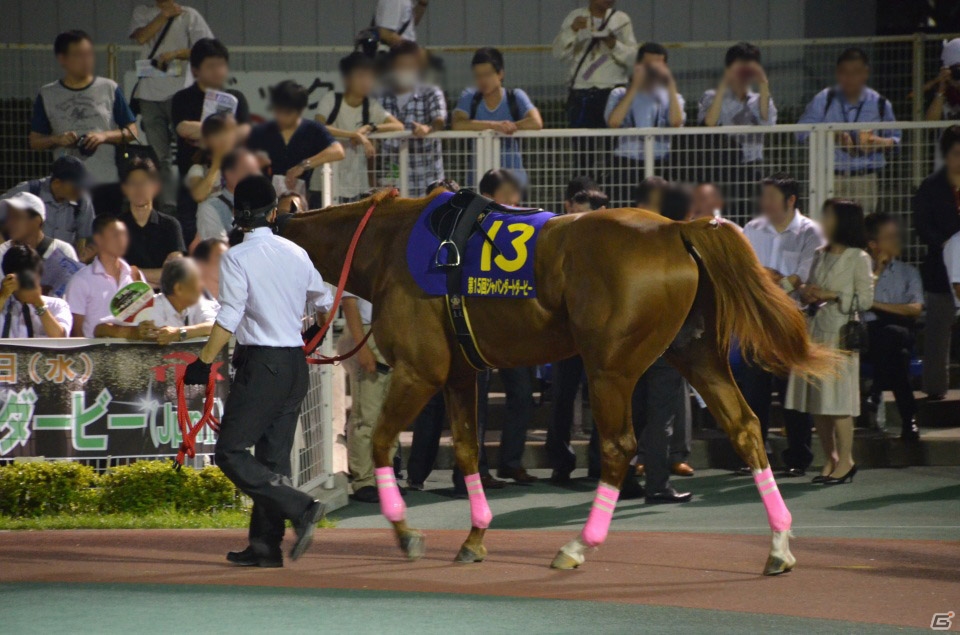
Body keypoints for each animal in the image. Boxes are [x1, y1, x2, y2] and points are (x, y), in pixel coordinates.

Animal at [283, 189, 836, 574]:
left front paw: (405, 534)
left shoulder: (421, 372)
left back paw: (577, 546)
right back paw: (779, 546)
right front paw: (474, 538)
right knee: (744, 427)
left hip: (610, 367)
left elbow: (380, 442)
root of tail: (678, 230)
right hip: (696, 354)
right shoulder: (460, 375)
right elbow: (466, 451)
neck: (388, 244)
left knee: (618, 446)